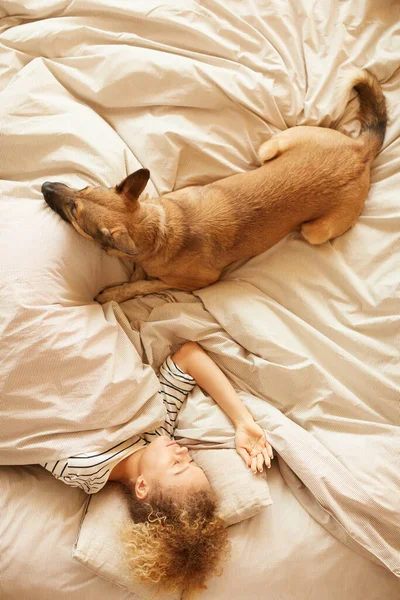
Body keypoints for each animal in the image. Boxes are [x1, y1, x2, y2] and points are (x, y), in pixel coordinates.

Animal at [42, 69, 386, 304]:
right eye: (84, 188)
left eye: (74, 210)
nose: (44, 185)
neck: (159, 229)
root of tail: (360, 151)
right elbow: (139, 271)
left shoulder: (197, 283)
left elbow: (147, 283)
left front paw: (119, 292)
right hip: (271, 148)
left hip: (314, 231)